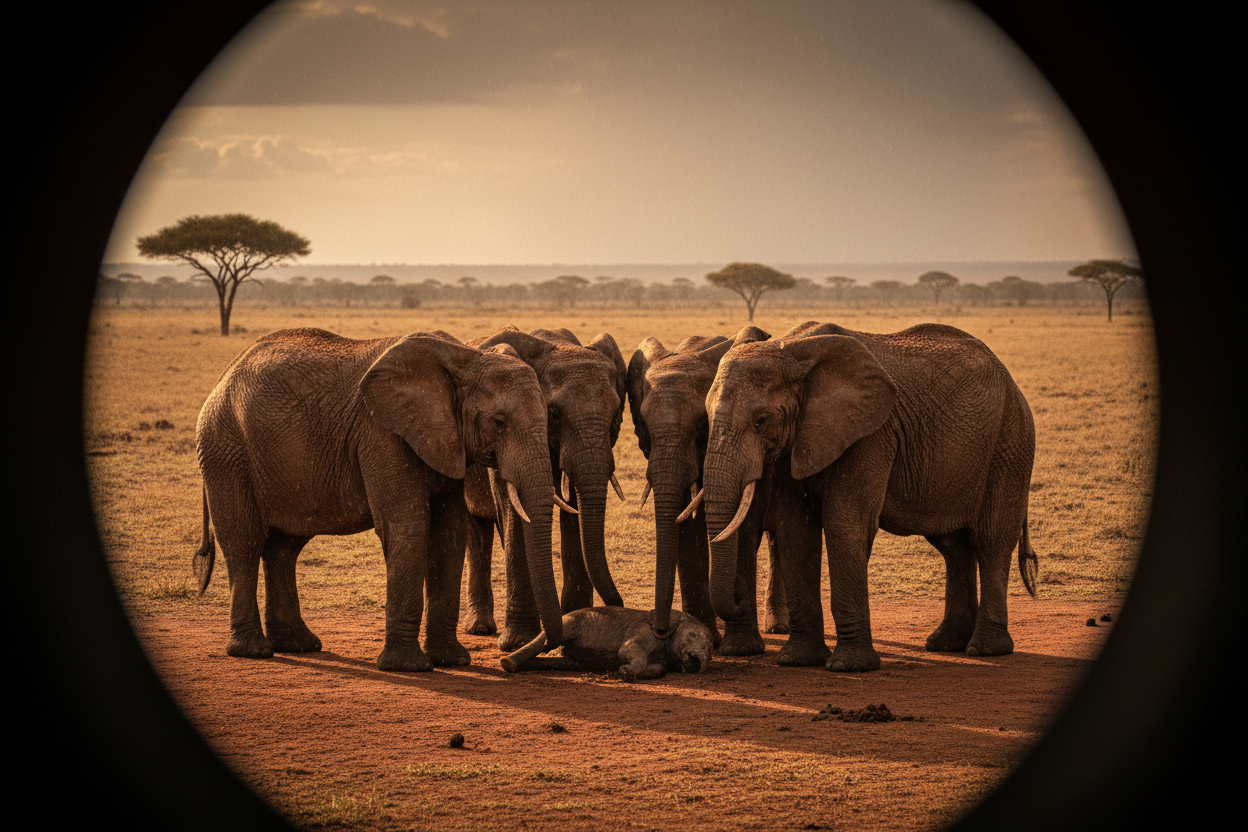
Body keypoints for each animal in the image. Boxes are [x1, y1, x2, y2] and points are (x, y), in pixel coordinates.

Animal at [193, 328, 563, 672]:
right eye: (499, 422)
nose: (509, 662)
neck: (465, 358)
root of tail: (224, 376)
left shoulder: (444, 440)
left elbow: (450, 535)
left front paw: (452, 660)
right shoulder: (382, 434)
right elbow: (408, 527)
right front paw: (408, 667)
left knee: (284, 547)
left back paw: (298, 645)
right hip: (226, 452)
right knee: (244, 543)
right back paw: (253, 650)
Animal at [460, 327, 629, 651]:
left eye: (616, 411)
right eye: (554, 413)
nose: (620, 606)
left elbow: (574, 506)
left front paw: (575, 618)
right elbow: (515, 514)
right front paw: (517, 642)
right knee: (476, 531)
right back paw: (480, 628)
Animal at [500, 606, 713, 682]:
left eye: (710, 651)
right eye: (692, 635)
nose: (698, 663)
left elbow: (659, 669)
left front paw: (622, 672)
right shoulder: (644, 630)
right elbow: (626, 650)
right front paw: (626, 672)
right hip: (571, 620)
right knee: (545, 641)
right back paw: (508, 663)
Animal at [625, 331, 788, 655]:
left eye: (703, 425)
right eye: (644, 426)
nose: (660, 631)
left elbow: (745, 522)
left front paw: (740, 648)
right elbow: (685, 525)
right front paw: (707, 636)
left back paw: (778, 627)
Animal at [703, 321, 1039, 672]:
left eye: (761, 421)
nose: (740, 600)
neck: (792, 349)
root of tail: (1011, 382)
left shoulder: (871, 433)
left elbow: (845, 522)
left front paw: (849, 666)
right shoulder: (796, 440)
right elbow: (794, 528)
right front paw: (799, 661)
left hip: (1011, 442)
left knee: (991, 541)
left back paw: (986, 650)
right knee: (952, 546)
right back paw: (946, 645)